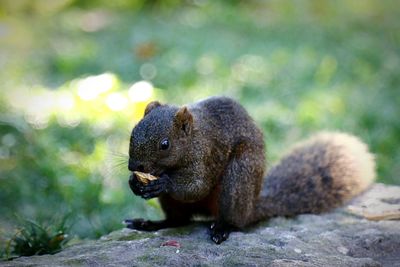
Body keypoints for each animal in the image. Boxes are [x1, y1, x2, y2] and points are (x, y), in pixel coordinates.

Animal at [124, 96, 376, 245]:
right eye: (132, 133)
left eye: (164, 144)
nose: (133, 167)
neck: (193, 138)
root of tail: (252, 206)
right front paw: (134, 183)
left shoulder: (207, 154)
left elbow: (196, 186)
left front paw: (162, 183)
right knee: (178, 220)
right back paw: (151, 224)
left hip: (238, 179)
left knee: (234, 221)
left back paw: (222, 228)